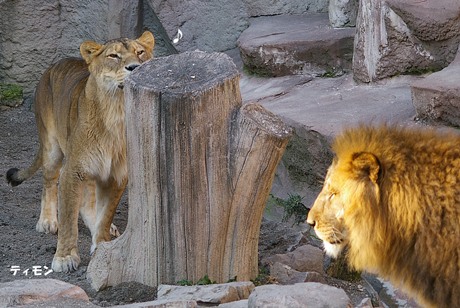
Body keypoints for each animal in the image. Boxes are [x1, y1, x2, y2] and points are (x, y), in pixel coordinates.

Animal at [6, 31, 155, 272]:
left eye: (140, 52)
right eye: (113, 56)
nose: (135, 67)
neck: (117, 111)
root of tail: (54, 64)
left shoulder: (117, 174)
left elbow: (105, 214)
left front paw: (102, 245)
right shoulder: (73, 171)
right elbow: (68, 217)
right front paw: (65, 257)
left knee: (87, 203)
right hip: (52, 147)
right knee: (49, 183)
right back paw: (47, 221)